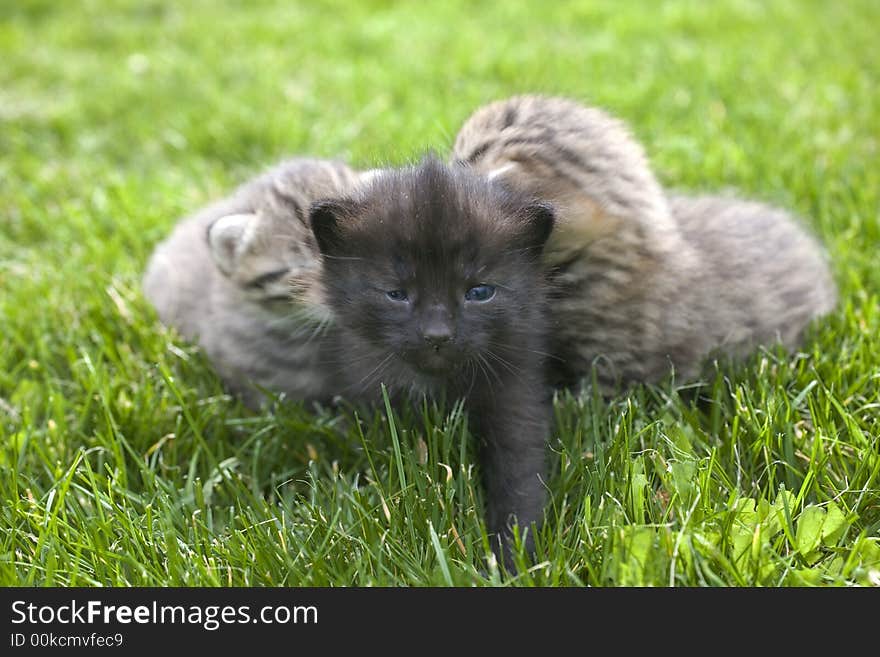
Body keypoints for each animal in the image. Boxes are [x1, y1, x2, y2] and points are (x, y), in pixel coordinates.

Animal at [312, 156, 552, 560]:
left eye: (479, 292)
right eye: (395, 293)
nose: (437, 335)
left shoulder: (515, 394)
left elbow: (520, 478)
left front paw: (514, 557)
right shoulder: (373, 399)